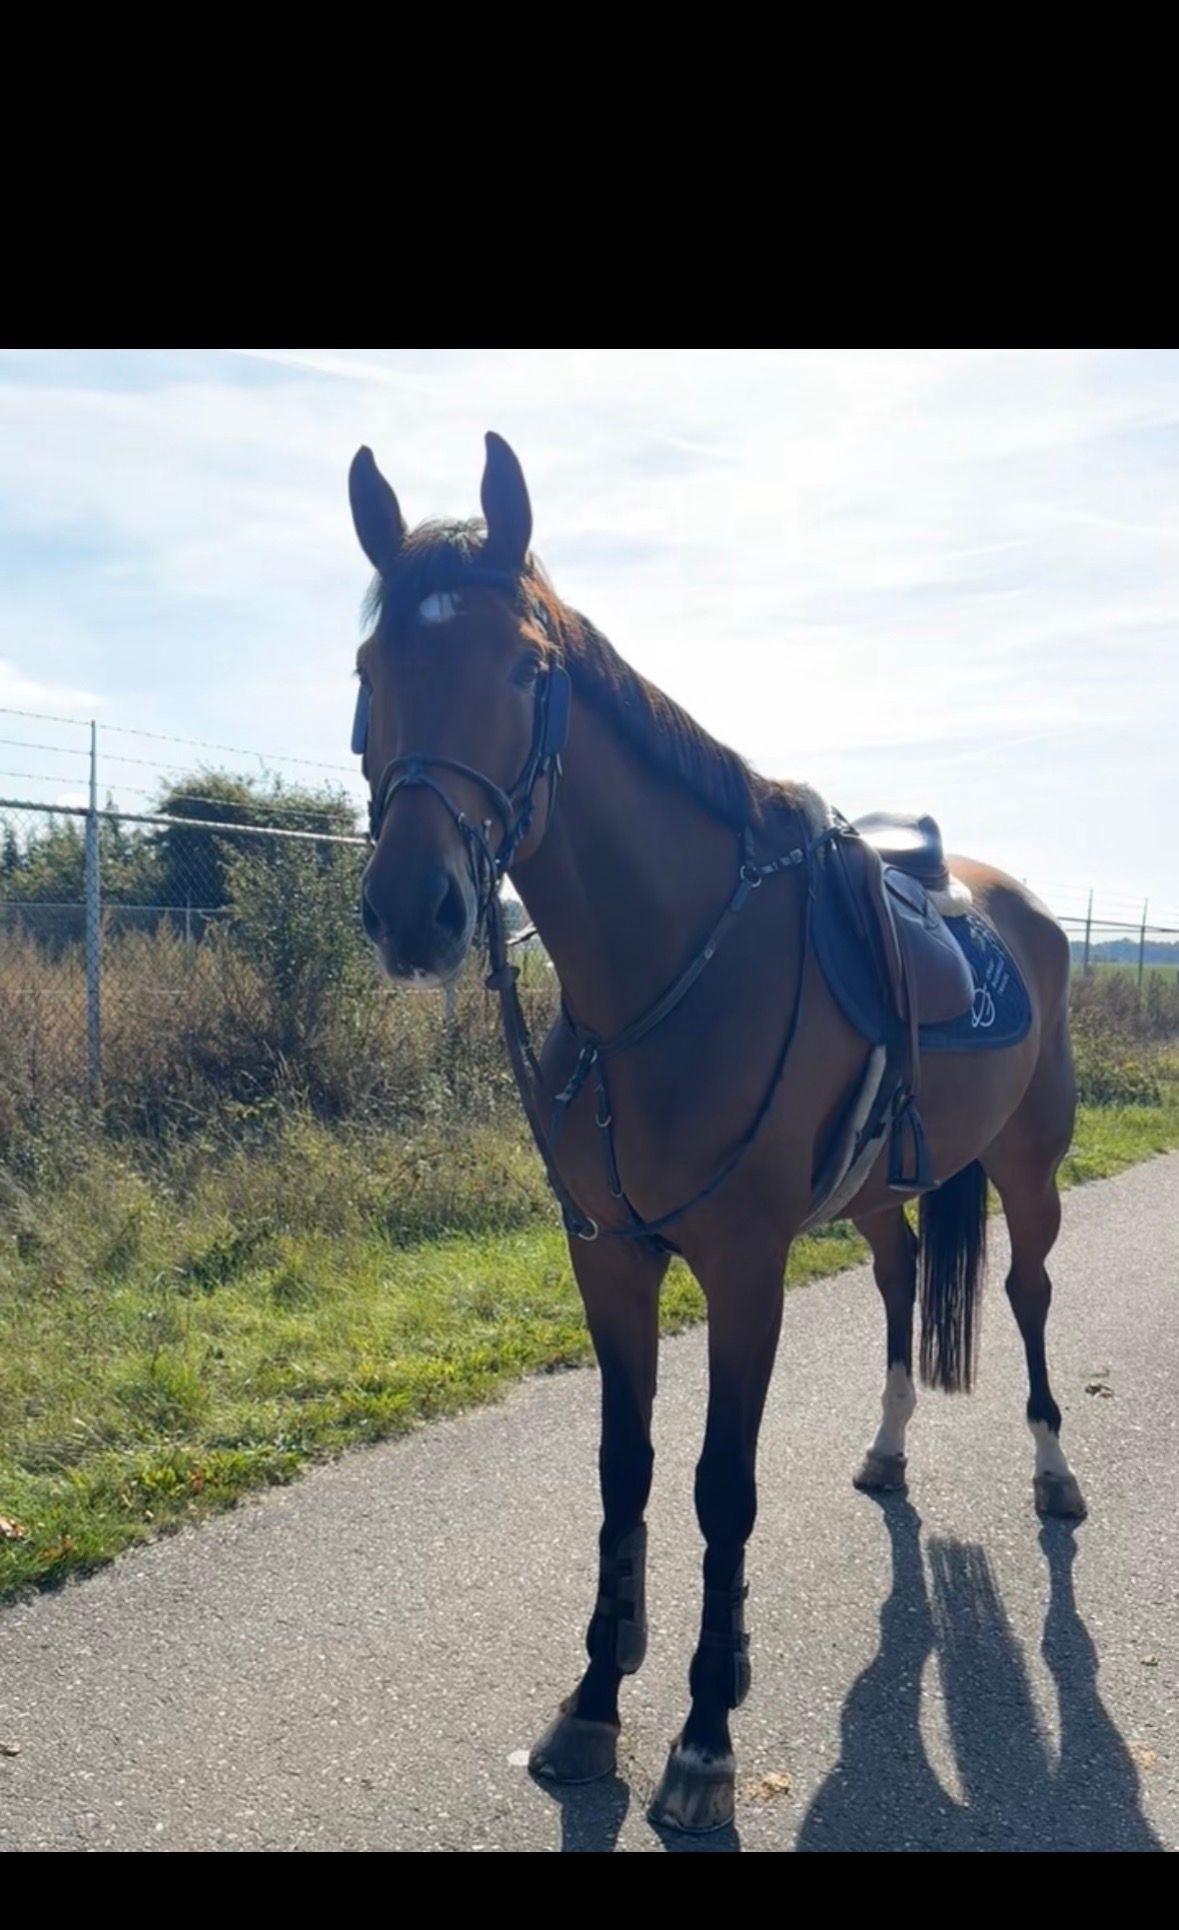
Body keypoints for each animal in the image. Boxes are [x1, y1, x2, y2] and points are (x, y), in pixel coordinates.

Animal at [346, 432, 1084, 1835]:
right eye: (370, 671)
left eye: (525, 667)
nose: (417, 910)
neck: (663, 977)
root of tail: (1010, 901)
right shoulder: (608, 1260)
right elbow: (624, 1470)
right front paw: (595, 1702)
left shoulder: (745, 1268)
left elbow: (719, 1486)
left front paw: (700, 1738)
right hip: (876, 1195)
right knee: (904, 1276)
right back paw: (887, 1449)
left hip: (1029, 1170)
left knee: (1025, 1297)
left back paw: (1053, 1472)